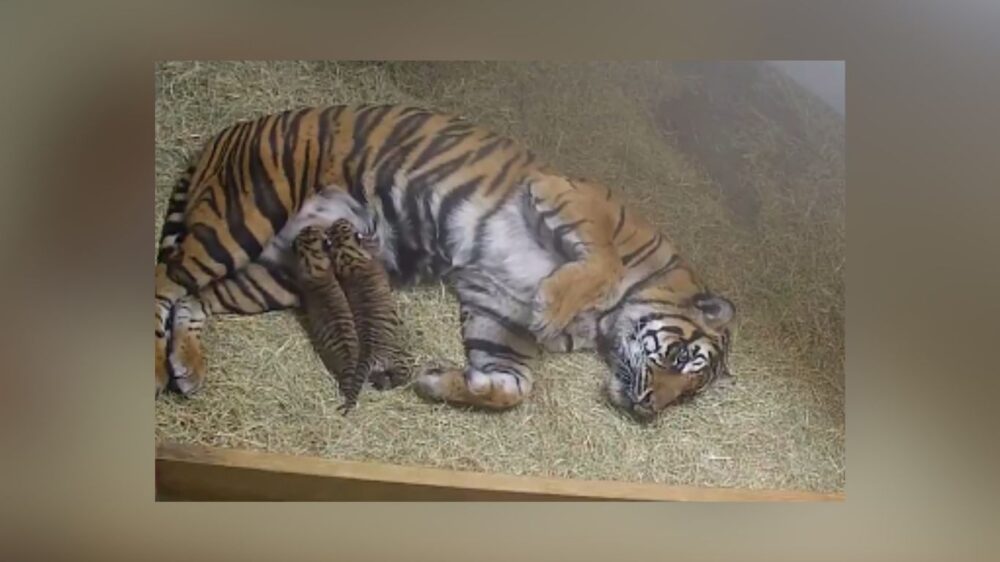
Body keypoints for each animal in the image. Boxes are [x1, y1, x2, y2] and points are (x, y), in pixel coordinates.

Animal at [325, 217, 409, 392]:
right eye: (345, 225)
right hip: (397, 359)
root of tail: (368, 358)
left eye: (337, 226)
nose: (340, 219)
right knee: (400, 375)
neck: (346, 254)